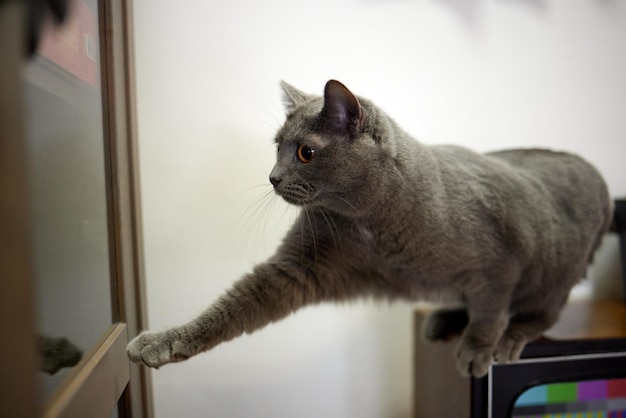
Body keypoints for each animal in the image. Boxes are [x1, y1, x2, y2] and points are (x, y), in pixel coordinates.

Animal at [127, 80, 608, 378]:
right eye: (276, 147)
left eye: (304, 152)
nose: (273, 177)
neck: (368, 224)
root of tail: (597, 177)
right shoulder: (300, 265)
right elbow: (231, 307)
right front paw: (163, 341)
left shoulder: (499, 264)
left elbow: (490, 308)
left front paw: (477, 348)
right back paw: (442, 317)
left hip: (554, 271)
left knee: (543, 311)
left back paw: (509, 336)